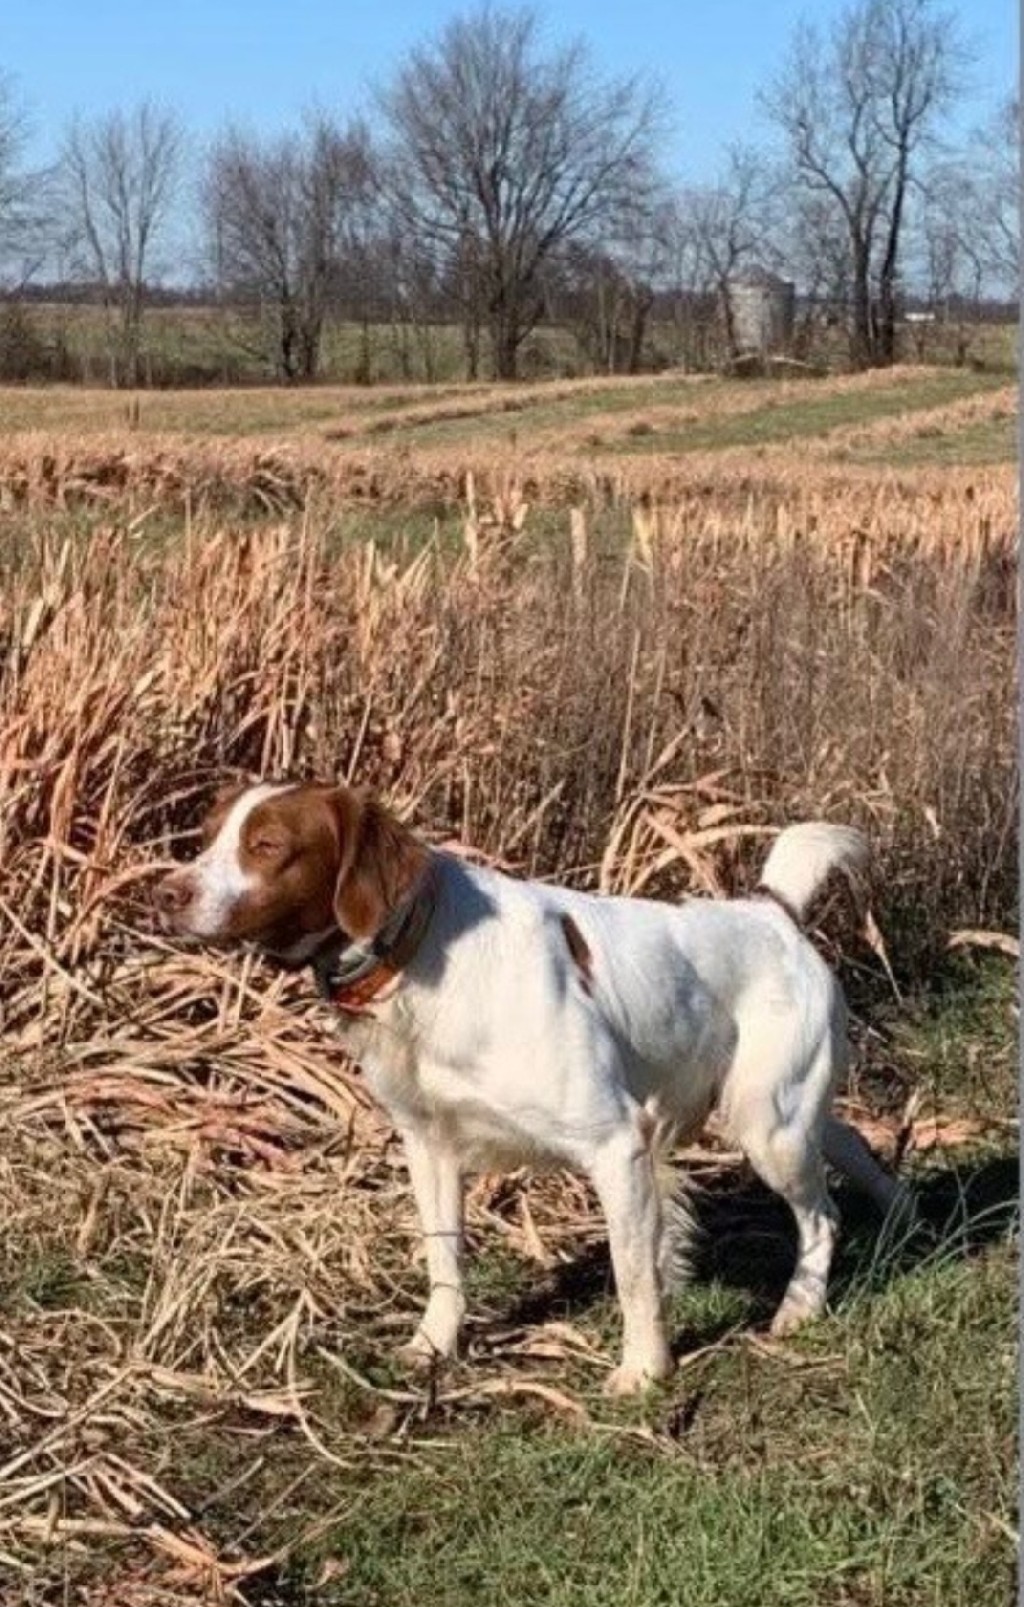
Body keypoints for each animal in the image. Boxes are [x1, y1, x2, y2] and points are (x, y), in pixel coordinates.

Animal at [155, 781, 906, 1394]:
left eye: (267, 845)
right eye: (208, 835)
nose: (167, 893)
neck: (424, 954)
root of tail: (773, 913)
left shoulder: (616, 1144)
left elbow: (634, 1274)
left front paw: (644, 1369)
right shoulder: (429, 1144)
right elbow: (444, 1258)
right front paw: (434, 1345)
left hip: (767, 1125)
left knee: (820, 1216)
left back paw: (798, 1309)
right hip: (781, 1112)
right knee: (850, 1142)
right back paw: (902, 1214)